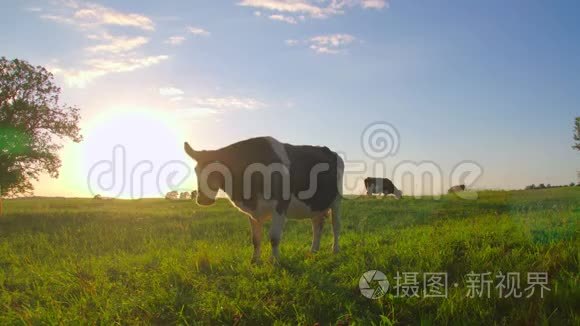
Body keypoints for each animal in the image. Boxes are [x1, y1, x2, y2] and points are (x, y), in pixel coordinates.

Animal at [184, 136, 342, 264]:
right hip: (316, 205)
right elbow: (256, 239)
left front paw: (275, 261)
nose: (202, 200)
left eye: (217, 170)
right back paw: (313, 250)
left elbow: (274, 237)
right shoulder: (252, 211)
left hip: (336, 201)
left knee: (335, 226)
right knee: (317, 226)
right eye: (196, 170)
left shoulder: (280, 206)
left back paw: (335, 250)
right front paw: (254, 260)